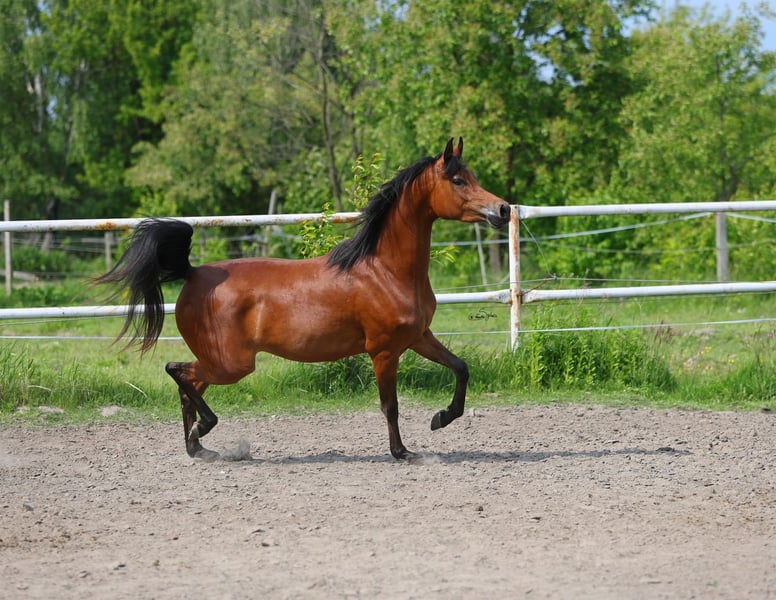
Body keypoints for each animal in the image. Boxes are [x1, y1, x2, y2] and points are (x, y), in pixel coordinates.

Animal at [97, 138, 511, 460]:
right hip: (231, 364)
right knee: (177, 371)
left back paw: (199, 447)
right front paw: (402, 452)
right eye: (458, 180)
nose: (504, 209)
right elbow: (390, 406)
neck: (385, 271)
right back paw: (204, 431)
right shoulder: (384, 351)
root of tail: (193, 273)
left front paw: (441, 418)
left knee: (187, 385)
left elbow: (461, 368)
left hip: (221, 362)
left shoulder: (418, 337)